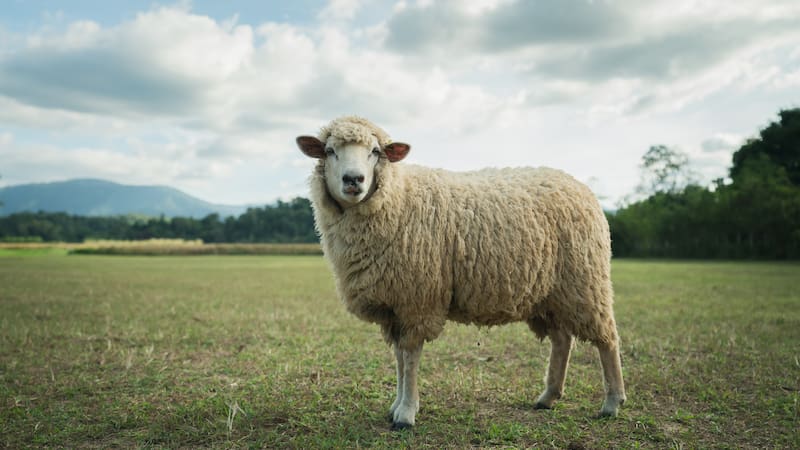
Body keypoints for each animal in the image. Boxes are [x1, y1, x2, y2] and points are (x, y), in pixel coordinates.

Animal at [295, 116, 626, 430]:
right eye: (330, 151)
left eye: (376, 151)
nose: (354, 180)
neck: (397, 198)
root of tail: (580, 186)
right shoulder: (395, 304)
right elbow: (399, 359)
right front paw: (396, 406)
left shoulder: (417, 298)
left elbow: (410, 356)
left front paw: (406, 414)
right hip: (550, 293)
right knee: (562, 340)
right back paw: (548, 397)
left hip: (586, 281)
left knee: (607, 338)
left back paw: (612, 402)